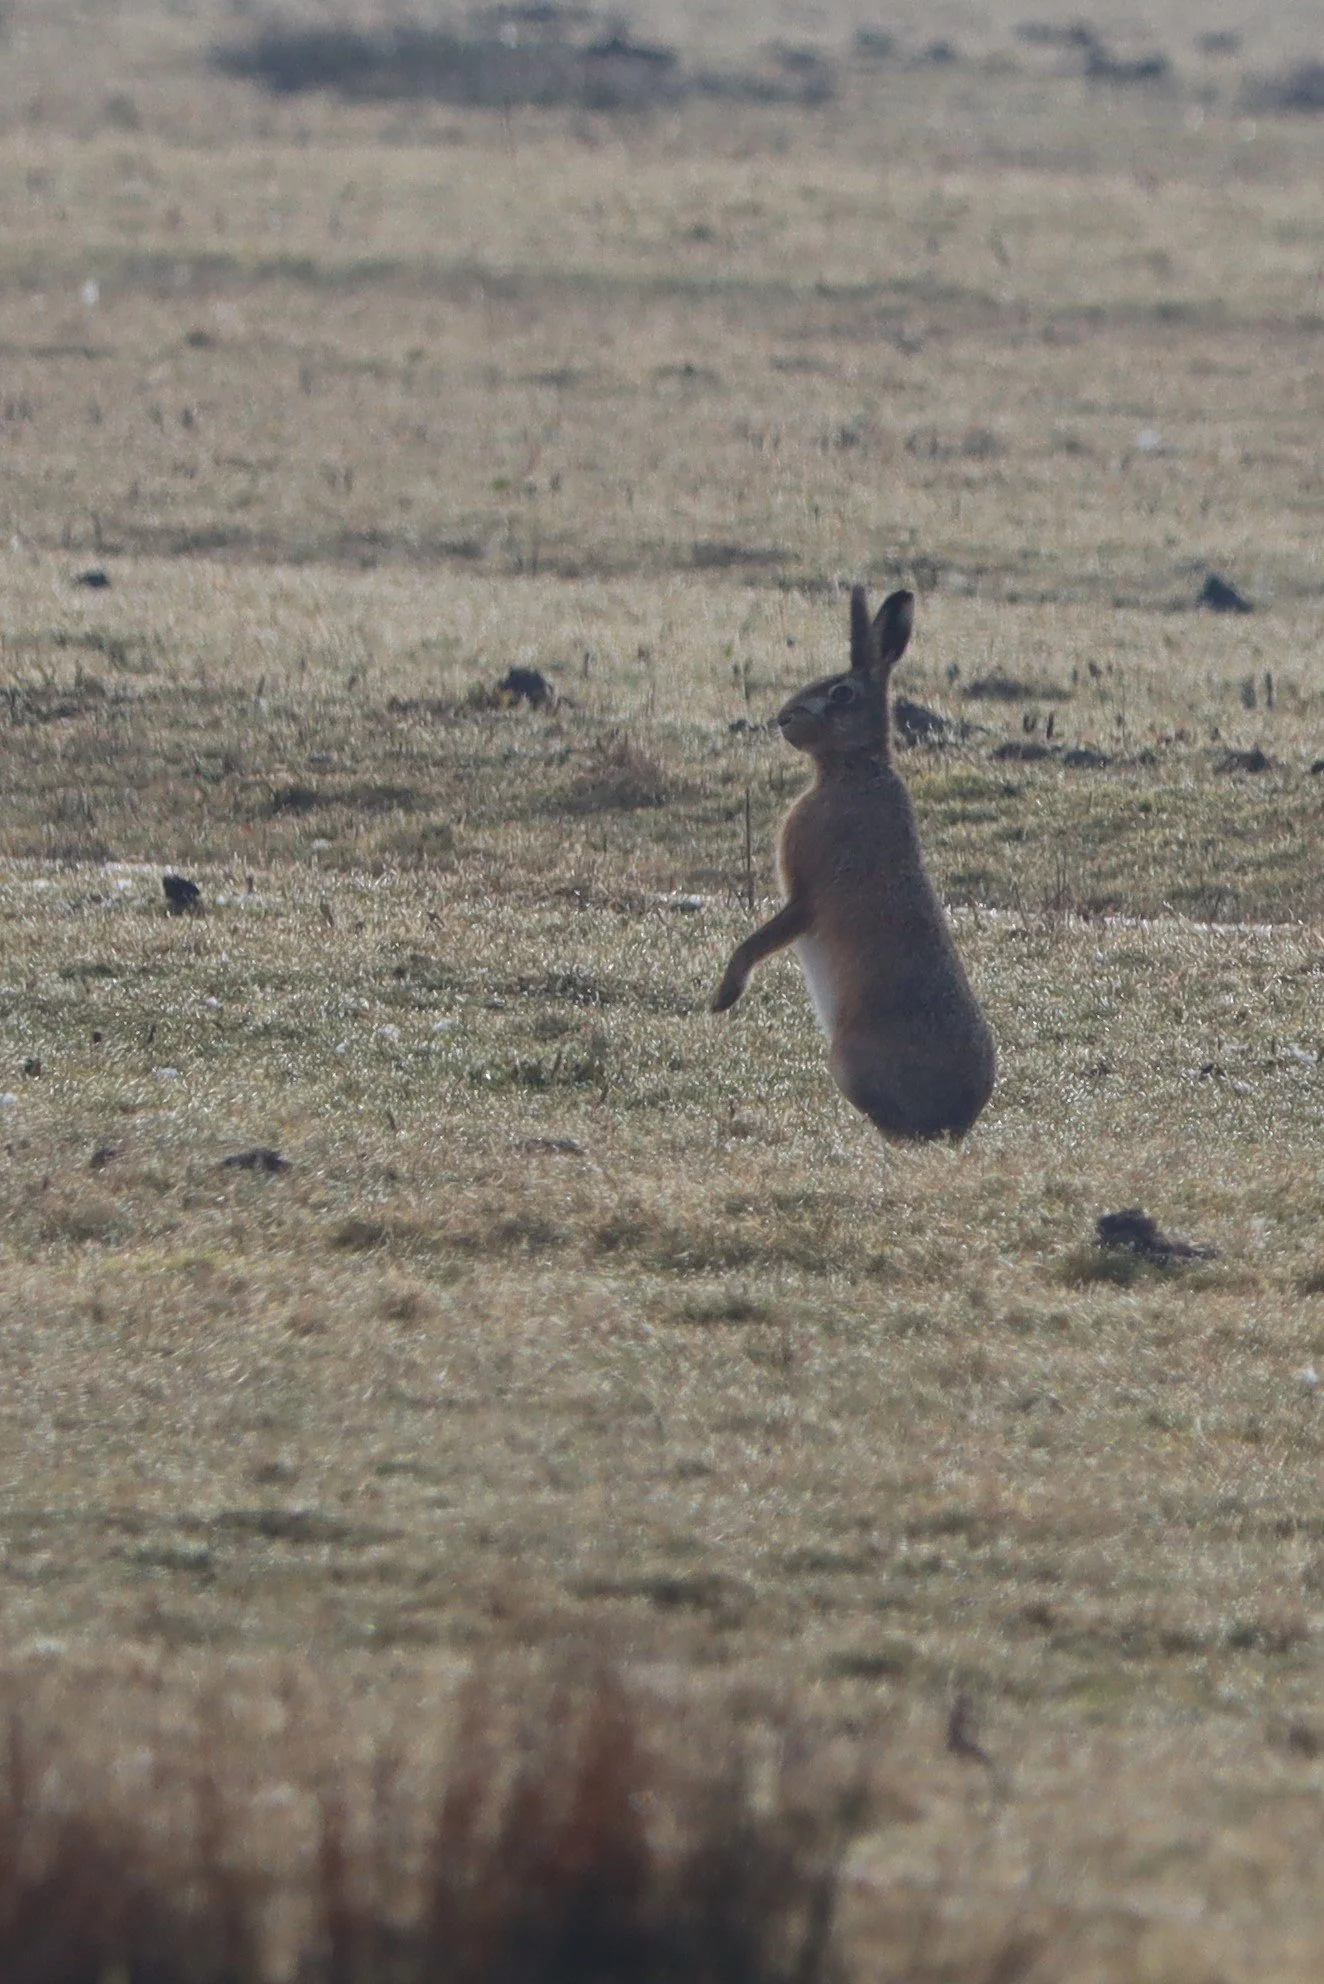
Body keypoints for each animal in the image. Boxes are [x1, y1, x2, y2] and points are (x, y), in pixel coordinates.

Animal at [712, 585, 995, 1142]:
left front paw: (724, 996)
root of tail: (955, 1121)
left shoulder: (806, 896)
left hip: (846, 1059)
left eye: (841, 694)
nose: (784, 718)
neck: (851, 769)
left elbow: (762, 938)